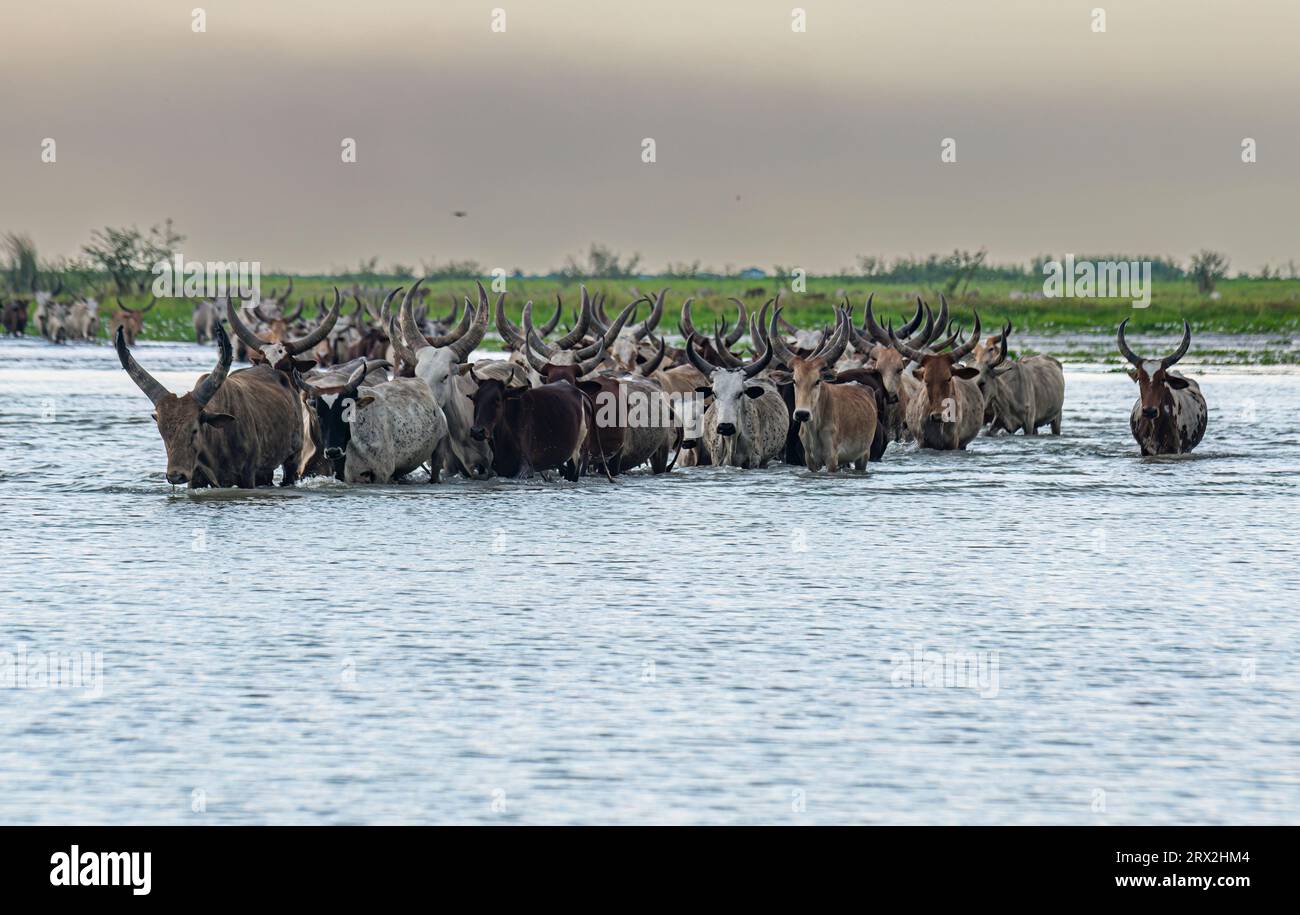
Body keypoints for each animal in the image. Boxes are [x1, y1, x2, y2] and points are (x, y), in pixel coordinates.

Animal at [116, 323, 304, 488]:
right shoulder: (195, 479)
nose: (176, 476)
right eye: (162, 431)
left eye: (194, 430)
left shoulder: (248, 476)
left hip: (292, 460)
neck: (218, 444)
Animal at [685, 306, 788, 469]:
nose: (725, 427)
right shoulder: (716, 459)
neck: (731, 441)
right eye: (714, 394)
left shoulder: (754, 461)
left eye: (740, 393)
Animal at [769, 308, 879, 472]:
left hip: (863, 455)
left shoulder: (832, 459)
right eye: (794, 381)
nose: (802, 414)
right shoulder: (810, 461)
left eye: (817, 381)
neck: (814, 428)